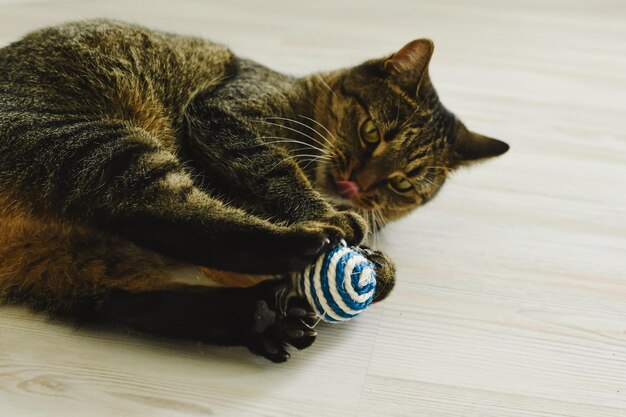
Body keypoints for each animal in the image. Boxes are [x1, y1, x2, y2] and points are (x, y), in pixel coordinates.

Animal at [0, 19, 508, 360]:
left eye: (400, 183)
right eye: (370, 133)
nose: (355, 185)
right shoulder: (226, 116)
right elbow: (275, 171)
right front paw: (337, 224)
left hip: (75, 264)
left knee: (132, 301)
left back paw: (264, 318)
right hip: (105, 148)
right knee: (159, 214)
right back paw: (301, 246)